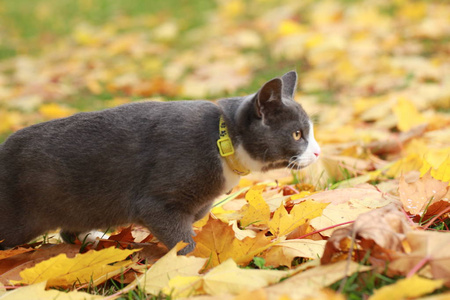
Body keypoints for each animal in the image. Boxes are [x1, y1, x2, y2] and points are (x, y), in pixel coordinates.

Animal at [0, 71, 320, 254]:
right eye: (297, 134)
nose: (317, 152)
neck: (223, 139)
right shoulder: (159, 198)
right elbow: (177, 234)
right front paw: (194, 263)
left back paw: (93, 240)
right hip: (20, 216)